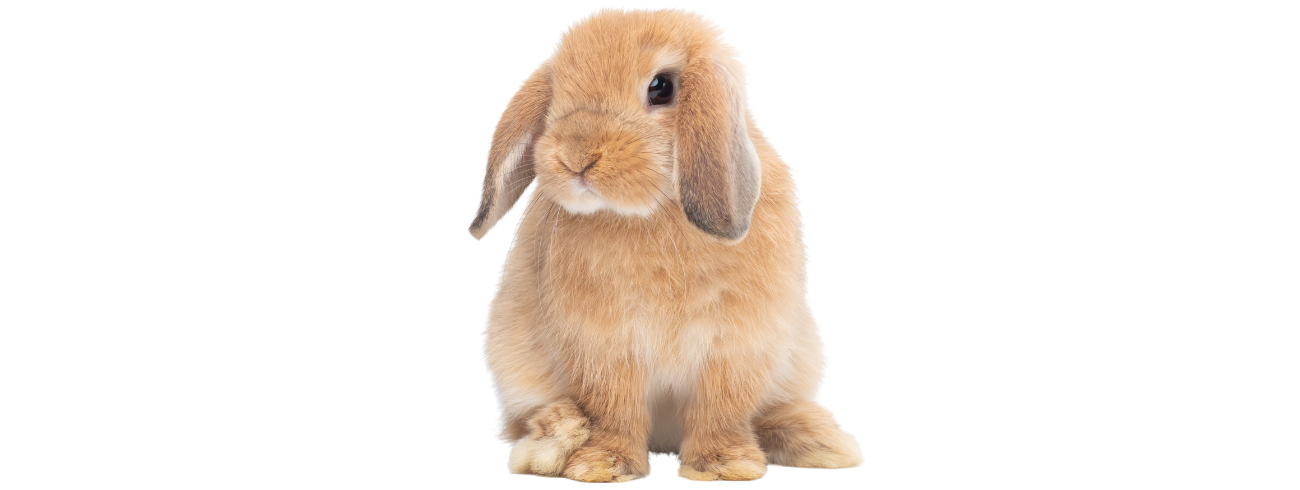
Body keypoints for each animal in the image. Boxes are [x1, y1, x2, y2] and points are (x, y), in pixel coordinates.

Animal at [469, 9, 862, 482]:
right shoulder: (603, 349)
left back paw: (819, 441)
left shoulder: (736, 347)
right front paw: (603, 464)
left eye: (661, 87)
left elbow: (721, 408)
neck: (652, 211)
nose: (576, 157)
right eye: (557, 90)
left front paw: (725, 465)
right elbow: (615, 408)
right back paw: (554, 436)